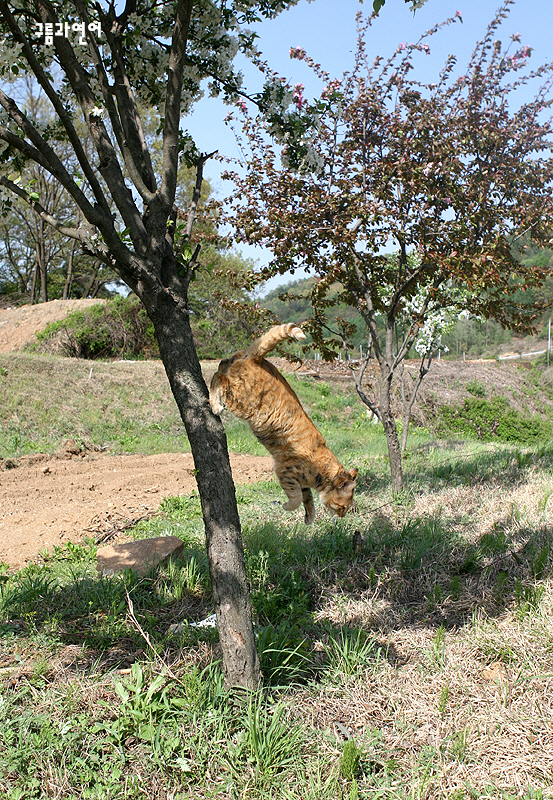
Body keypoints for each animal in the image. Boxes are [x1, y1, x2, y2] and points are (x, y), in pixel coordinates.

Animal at [208, 322, 358, 520]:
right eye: (343, 507)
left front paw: (309, 518)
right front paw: (288, 507)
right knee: (218, 379)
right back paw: (215, 405)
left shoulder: (302, 484)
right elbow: (296, 499)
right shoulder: (286, 473)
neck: (321, 470)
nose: (342, 516)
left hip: (235, 376)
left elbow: (308, 500)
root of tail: (258, 359)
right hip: (239, 401)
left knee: (222, 366)